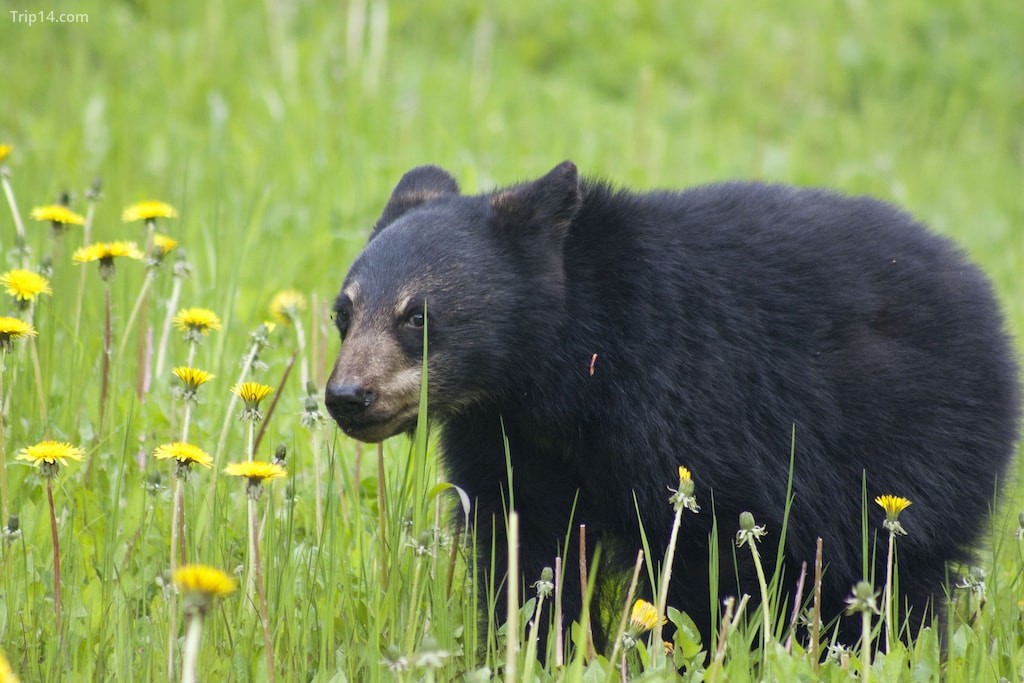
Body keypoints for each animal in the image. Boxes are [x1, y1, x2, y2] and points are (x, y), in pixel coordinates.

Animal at [325, 162, 1015, 655]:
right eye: (342, 312)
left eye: (417, 317)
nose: (347, 396)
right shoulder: (507, 437)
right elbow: (525, 542)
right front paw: (534, 647)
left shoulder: (693, 405)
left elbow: (704, 561)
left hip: (913, 456)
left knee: (899, 578)